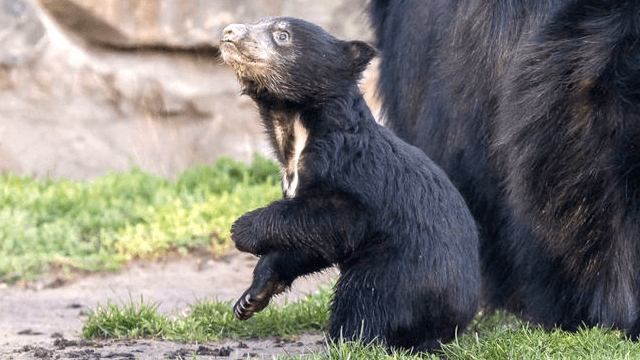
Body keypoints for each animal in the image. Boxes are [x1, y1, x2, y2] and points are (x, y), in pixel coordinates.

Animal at [220, 15, 480, 350]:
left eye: (282, 35)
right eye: (257, 22)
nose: (228, 32)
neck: (296, 128)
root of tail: (457, 323)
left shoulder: (346, 168)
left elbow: (339, 220)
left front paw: (242, 229)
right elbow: (308, 242)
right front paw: (250, 299)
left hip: (400, 275)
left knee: (364, 301)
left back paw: (345, 339)